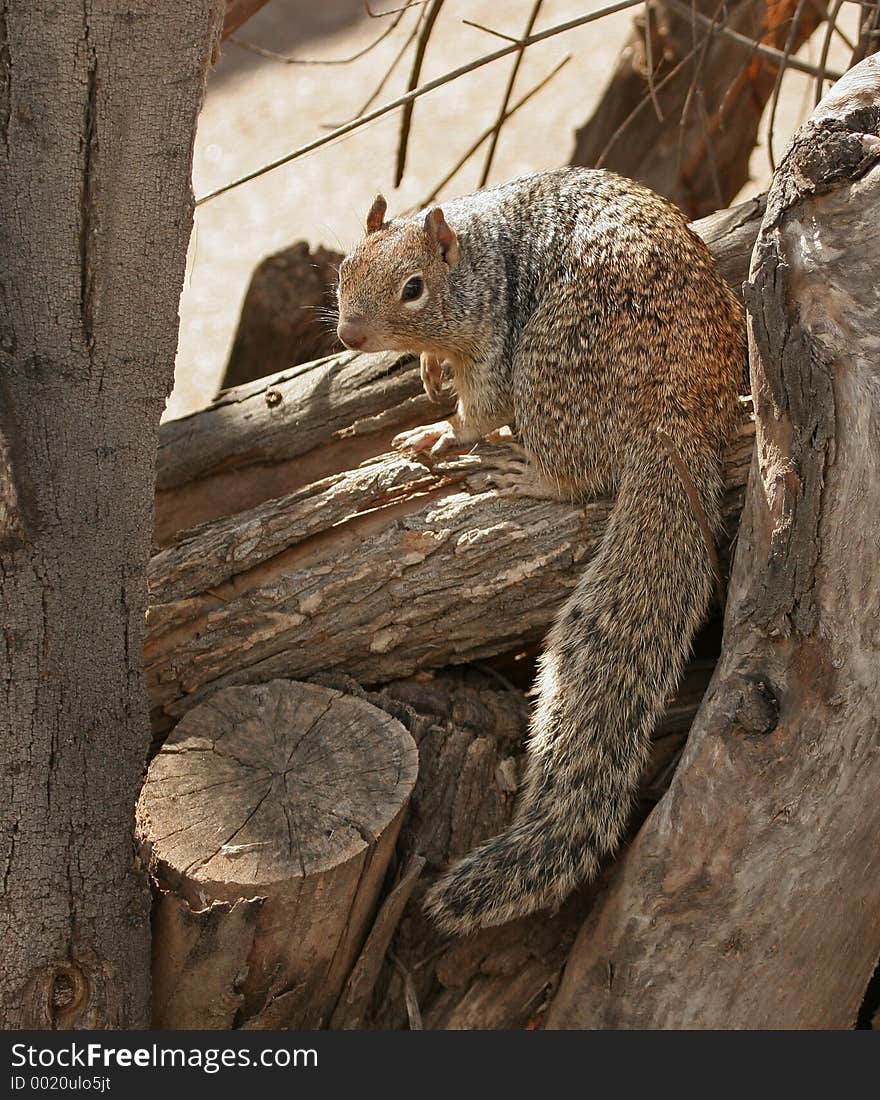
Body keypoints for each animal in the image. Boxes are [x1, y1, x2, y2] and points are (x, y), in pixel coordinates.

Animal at [334, 167, 748, 932]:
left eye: (414, 288)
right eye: (344, 267)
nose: (348, 335)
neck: (476, 262)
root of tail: (681, 426)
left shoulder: (496, 349)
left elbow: (478, 410)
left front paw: (445, 430)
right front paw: (427, 373)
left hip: (552, 370)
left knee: (576, 477)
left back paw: (523, 471)